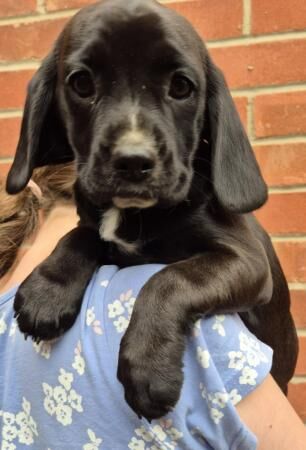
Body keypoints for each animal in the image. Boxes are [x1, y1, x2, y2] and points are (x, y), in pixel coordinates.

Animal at [7, 0, 298, 422]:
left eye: (181, 87)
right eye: (82, 84)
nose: (132, 161)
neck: (132, 214)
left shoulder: (246, 260)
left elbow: (171, 279)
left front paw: (147, 367)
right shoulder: (100, 230)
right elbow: (80, 234)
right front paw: (48, 291)